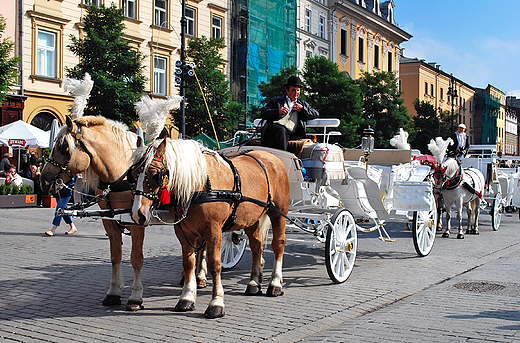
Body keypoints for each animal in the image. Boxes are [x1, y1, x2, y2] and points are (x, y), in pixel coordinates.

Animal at [40, 115, 148, 312]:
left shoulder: (136, 223)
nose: (44, 180)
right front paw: (114, 292)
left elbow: (136, 259)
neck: (121, 174)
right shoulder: (110, 221)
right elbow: (115, 257)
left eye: (64, 147)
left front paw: (135, 297)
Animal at [130, 134, 290, 320]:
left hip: (278, 214)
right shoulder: (184, 232)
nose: (137, 214)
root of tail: (271, 156)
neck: (199, 186)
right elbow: (189, 263)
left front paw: (216, 303)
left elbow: (215, 264)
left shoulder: (214, 230)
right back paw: (253, 283)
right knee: (257, 246)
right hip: (250, 219)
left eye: (155, 174)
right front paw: (187, 297)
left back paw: (275, 283)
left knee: (278, 245)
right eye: (133, 175)